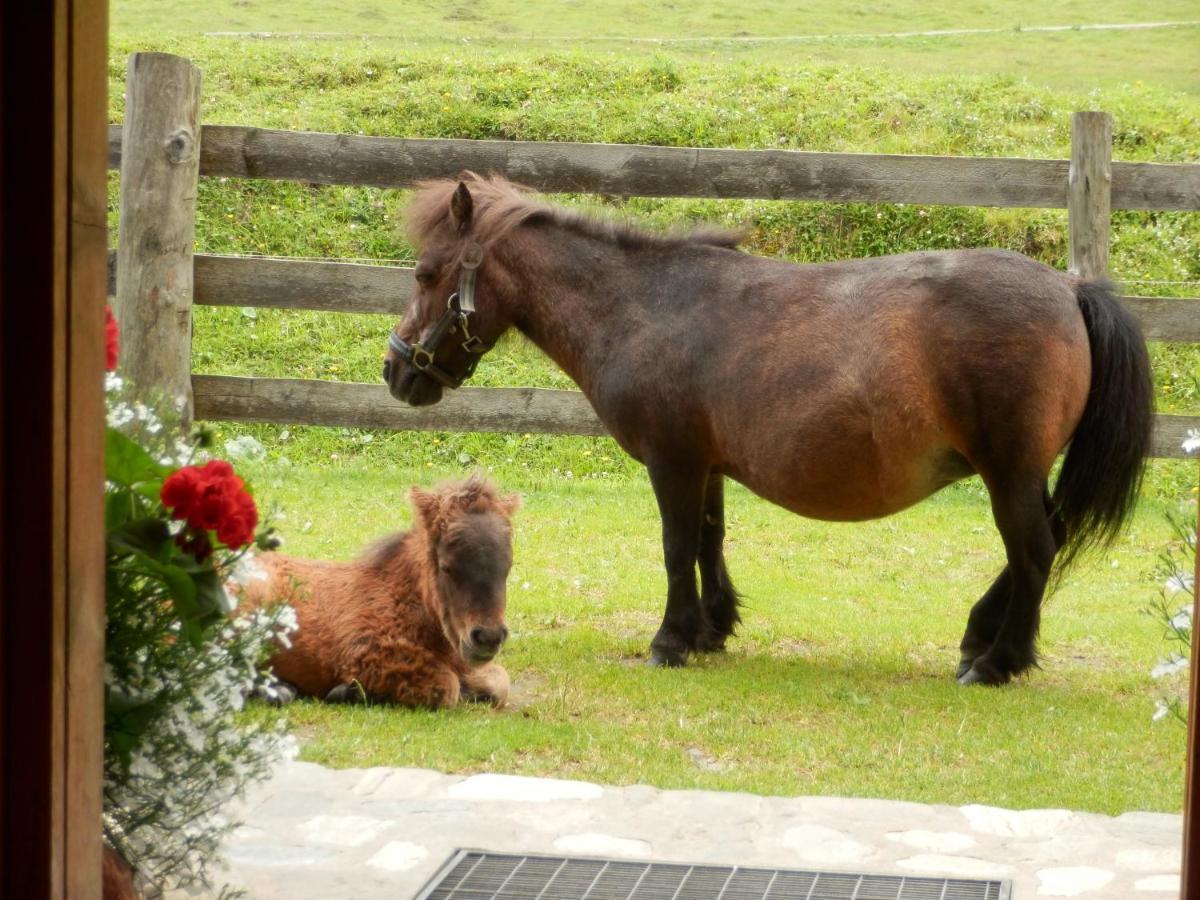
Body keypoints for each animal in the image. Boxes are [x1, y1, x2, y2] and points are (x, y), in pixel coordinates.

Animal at [231, 480, 518, 710]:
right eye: (447, 566)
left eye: (507, 567)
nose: (488, 637)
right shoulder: (367, 654)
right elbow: (448, 687)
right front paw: (347, 692)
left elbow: (499, 683)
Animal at [384, 174, 1152, 681]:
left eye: (425, 273)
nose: (396, 371)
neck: (643, 307)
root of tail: (1070, 288)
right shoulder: (706, 464)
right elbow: (708, 540)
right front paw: (712, 627)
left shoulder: (673, 461)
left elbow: (676, 547)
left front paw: (671, 639)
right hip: (1020, 472)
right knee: (1038, 548)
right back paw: (981, 636)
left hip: (1009, 470)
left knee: (1034, 550)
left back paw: (999, 661)